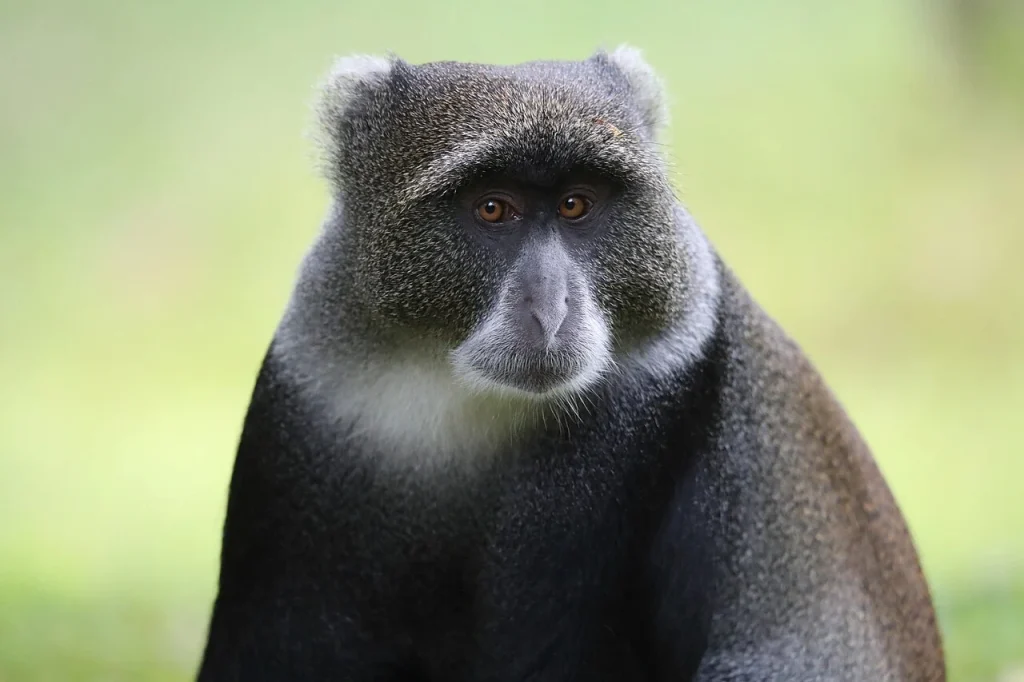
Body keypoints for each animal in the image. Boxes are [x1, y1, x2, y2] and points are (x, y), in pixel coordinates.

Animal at [195, 46, 946, 681]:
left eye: (576, 204)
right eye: (492, 208)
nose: (551, 313)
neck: (459, 390)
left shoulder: (642, 415)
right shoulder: (317, 404)